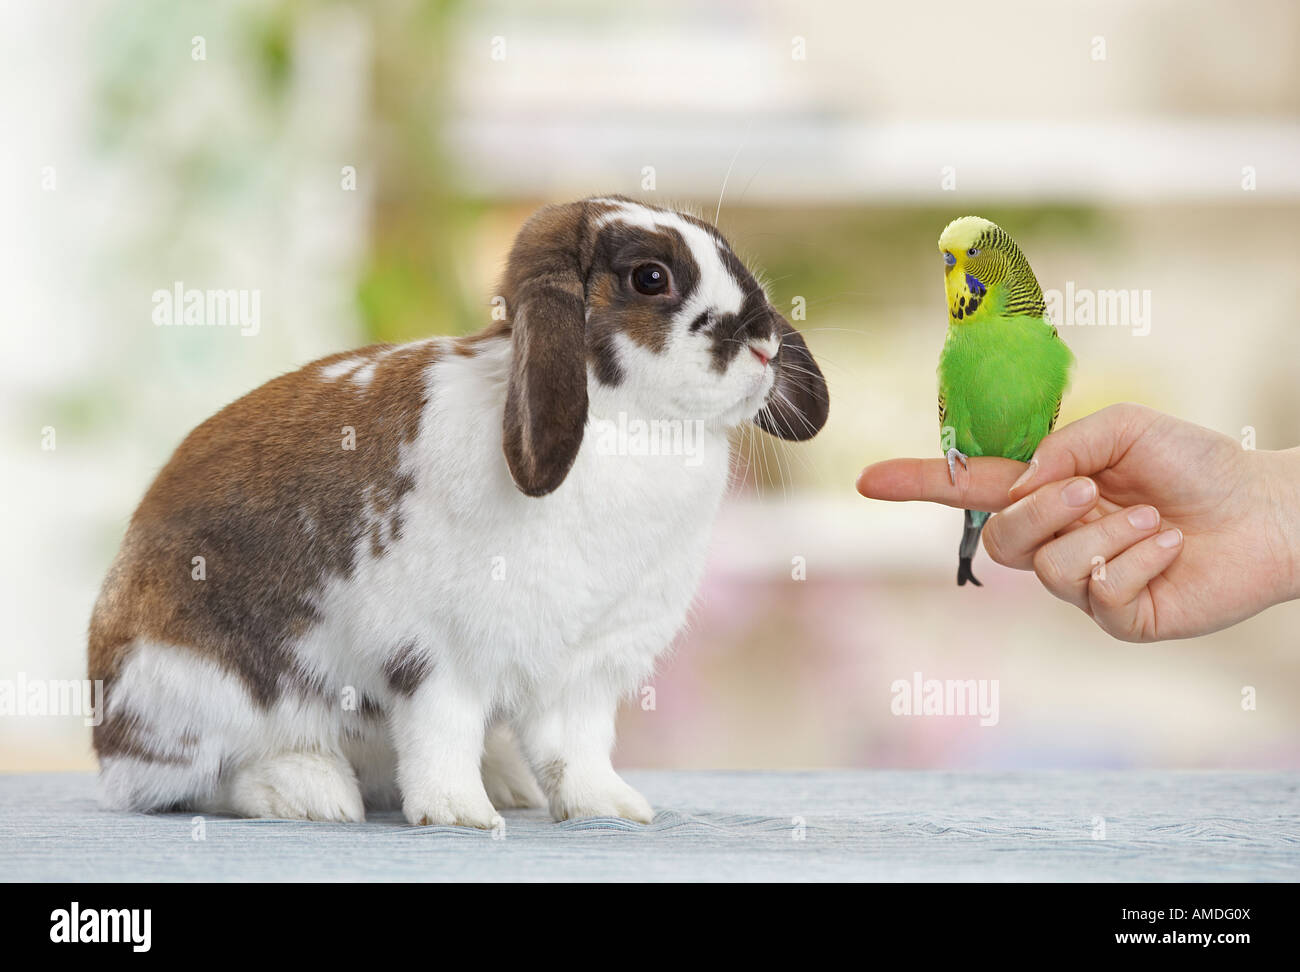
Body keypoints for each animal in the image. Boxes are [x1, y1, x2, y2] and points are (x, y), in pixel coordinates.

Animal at [88, 195, 829, 827]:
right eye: (651, 278)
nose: (764, 343)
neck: (632, 428)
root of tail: (105, 731)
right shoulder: (436, 653)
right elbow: (441, 734)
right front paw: (458, 815)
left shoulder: (587, 669)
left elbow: (579, 749)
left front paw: (612, 808)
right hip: (193, 689)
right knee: (188, 782)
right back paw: (308, 791)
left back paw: (505, 780)